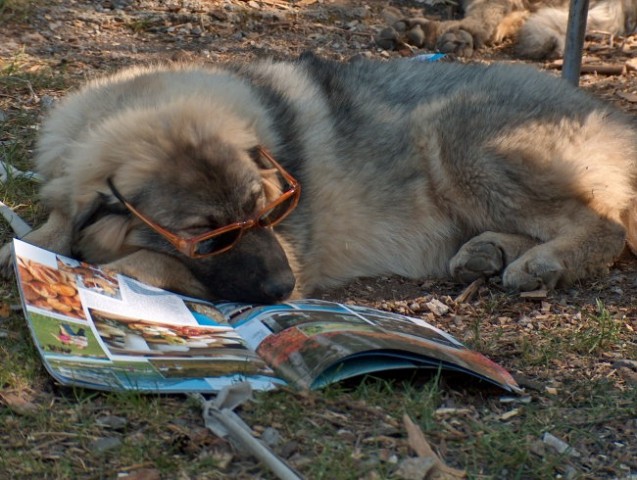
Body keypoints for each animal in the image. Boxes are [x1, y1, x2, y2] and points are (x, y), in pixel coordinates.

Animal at [1, 54, 636, 302]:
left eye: (266, 210)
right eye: (209, 234)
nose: (285, 289)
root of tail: (615, 119)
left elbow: (145, 263)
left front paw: (100, 271)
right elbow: (54, 220)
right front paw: (32, 246)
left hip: (456, 141)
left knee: (606, 224)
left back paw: (543, 261)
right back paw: (490, 252)